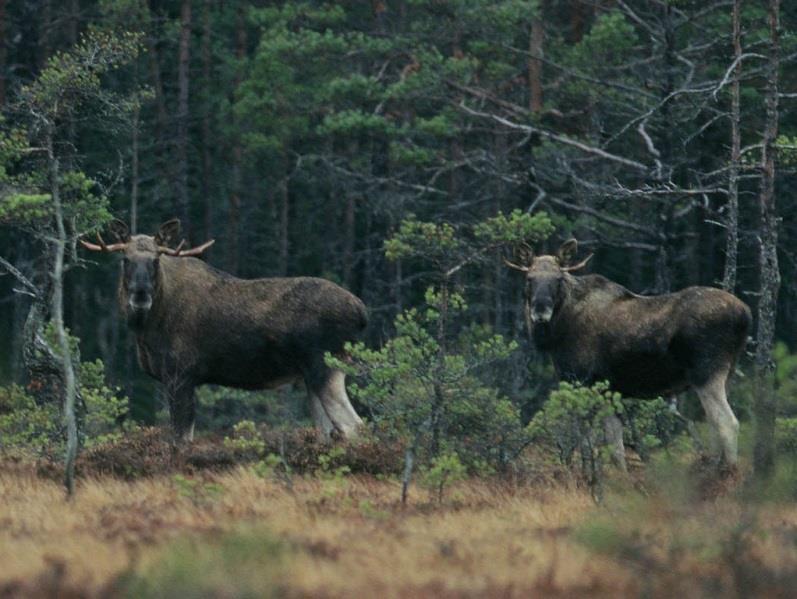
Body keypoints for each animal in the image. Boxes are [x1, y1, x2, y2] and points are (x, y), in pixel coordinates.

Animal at [81, 219, 366, 440]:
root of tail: (362, 313)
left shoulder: (181, 374)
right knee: (329, 431)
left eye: (155, 259)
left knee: (353, 427)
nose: (140, 294)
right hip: (310, 375)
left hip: (327, 366)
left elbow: (181, 440)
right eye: (125, 259)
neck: (146, 330)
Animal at [506, 239, 748, 468]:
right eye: (529, 278)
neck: (558, 332)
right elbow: (616, 448)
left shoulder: (582, 381)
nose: (540, 310)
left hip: (706, 373)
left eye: (558, 279)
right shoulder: (609, 390)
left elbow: (587, 446)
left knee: (727, 423)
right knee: (714, 425)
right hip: (726, 373)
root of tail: (746, 314)